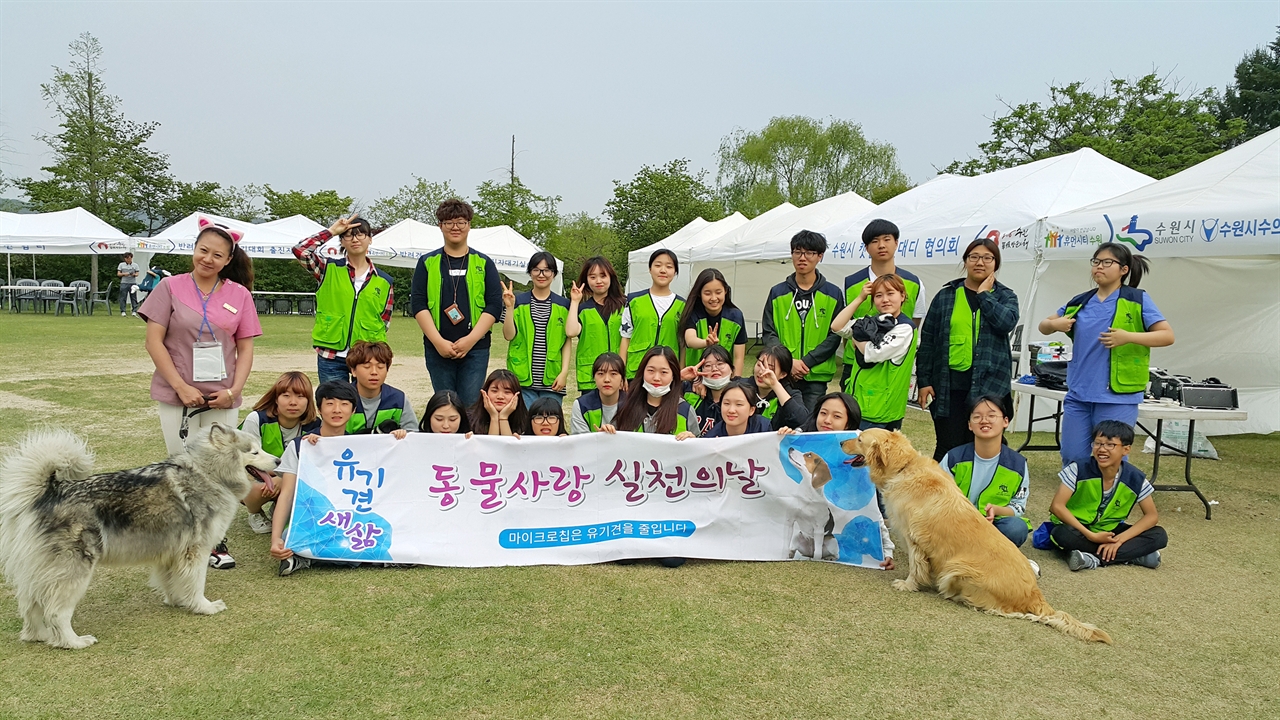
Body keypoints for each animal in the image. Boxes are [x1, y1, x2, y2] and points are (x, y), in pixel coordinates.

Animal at [0, 422, 279, 648]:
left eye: (260, 448)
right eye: (254, 451)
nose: (278, 461)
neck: (209, 473)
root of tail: (50, 492)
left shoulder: (172, 551)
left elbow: (172, 581)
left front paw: (179, 602)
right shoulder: (195, 550)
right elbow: (196, 583)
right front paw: (204, 607)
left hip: (41, 573)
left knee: (30, 606)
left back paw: (40, 636)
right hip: (72, 571)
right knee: (55, 612)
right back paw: (73, 642)